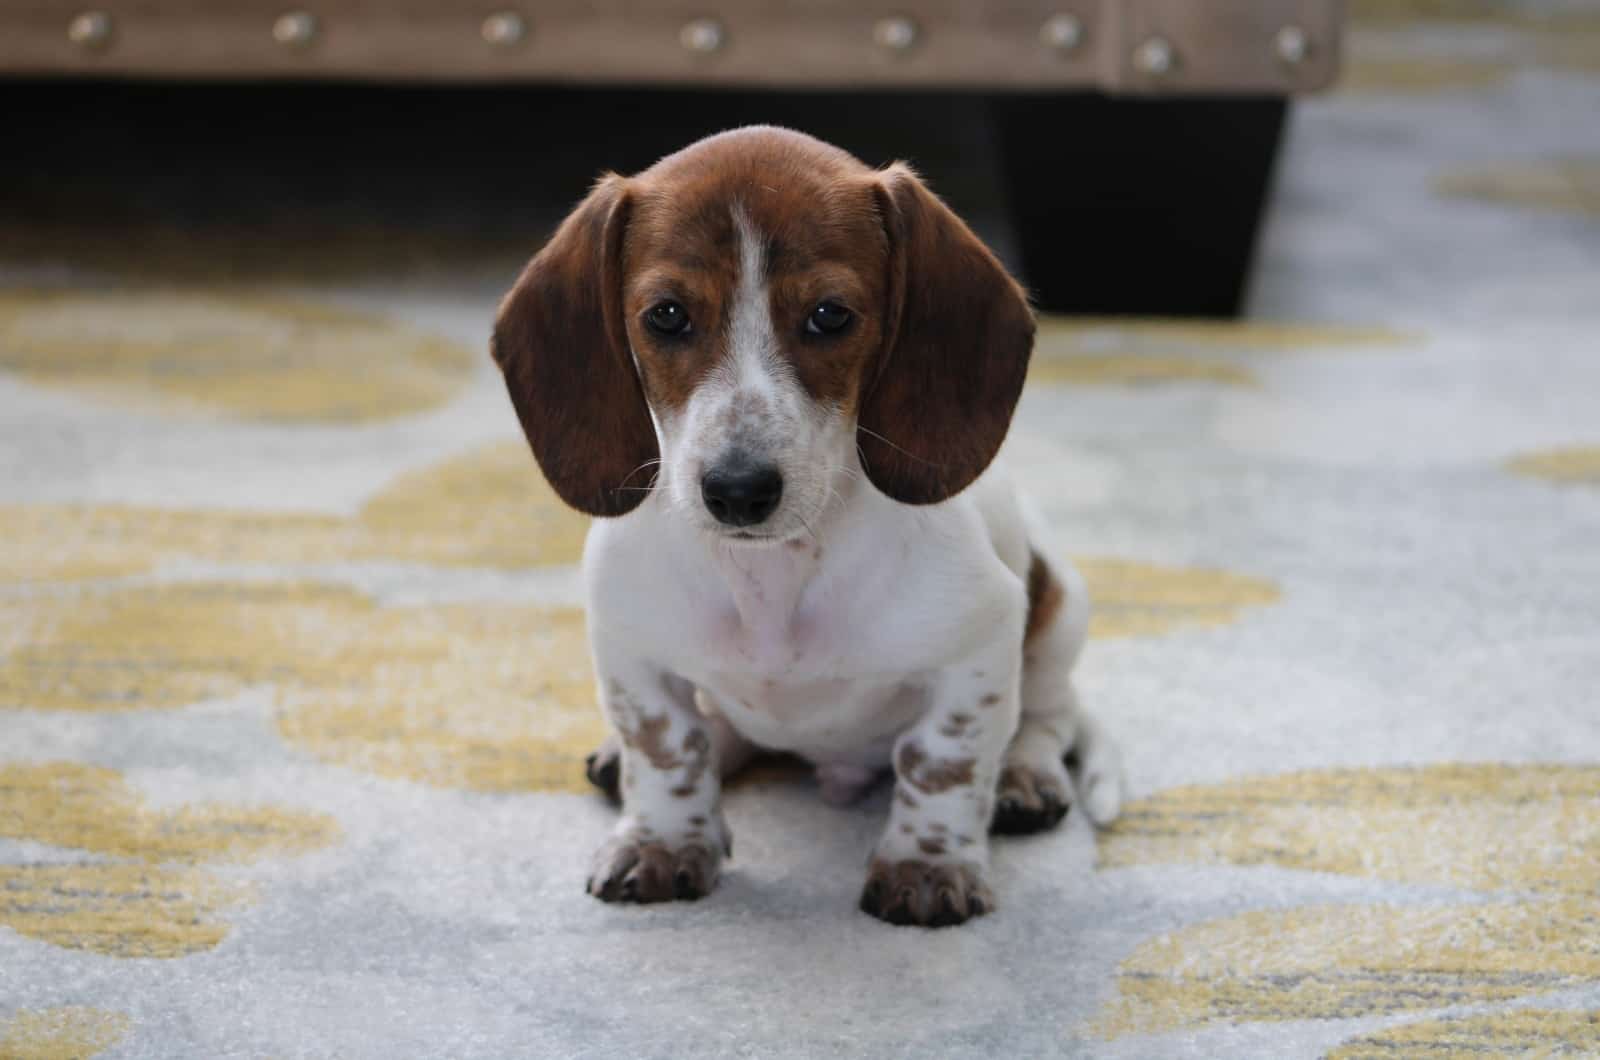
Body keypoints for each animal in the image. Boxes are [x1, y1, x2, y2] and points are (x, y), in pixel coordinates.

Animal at [492, 124, 1120, 928]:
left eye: (830, 315)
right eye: (666, 315)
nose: (737, 491)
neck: (774, 574)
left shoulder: (979, 645)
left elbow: (941, 761)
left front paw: (927, 863)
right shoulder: (628, 644)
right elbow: (667, 746)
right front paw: (663, 840)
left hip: (1061, 611)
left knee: (1050, 714)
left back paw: (1025, 776)